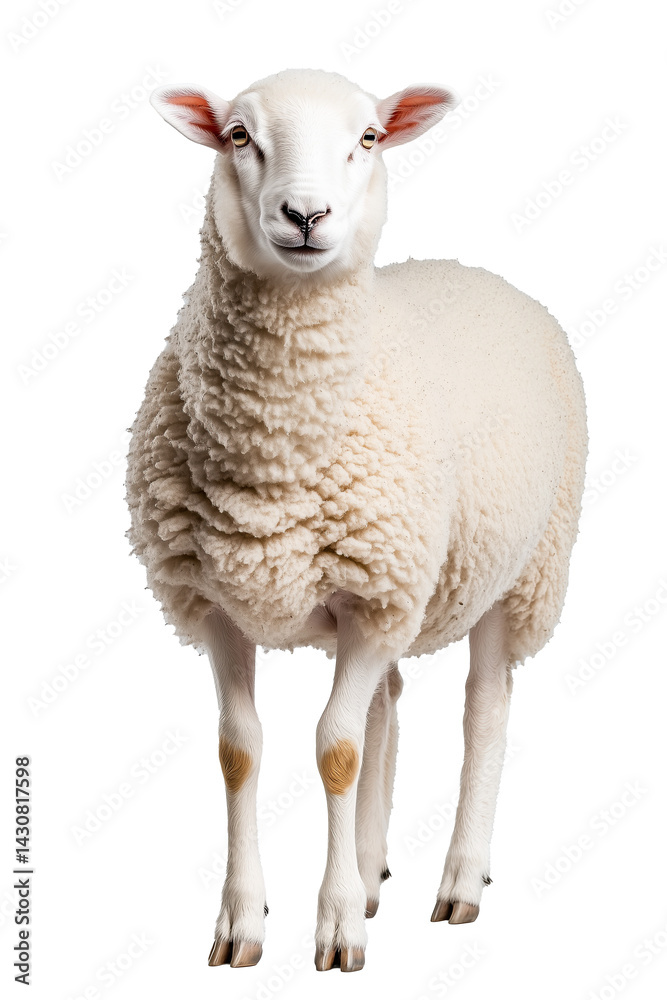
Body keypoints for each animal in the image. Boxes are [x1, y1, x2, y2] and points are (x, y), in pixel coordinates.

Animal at [125, 67, 587, 973]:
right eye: (238, 135)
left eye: (367, 137)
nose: (305, 216)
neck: (272, 452)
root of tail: (476, 270)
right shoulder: (219, 600)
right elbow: (241, 750)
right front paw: (242, 921)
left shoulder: (375, 599)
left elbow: (334, 750)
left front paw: (335, 926)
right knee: (388, 702)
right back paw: (372, 868)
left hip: (517, 570)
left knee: (483, 708)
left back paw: (458, 880)